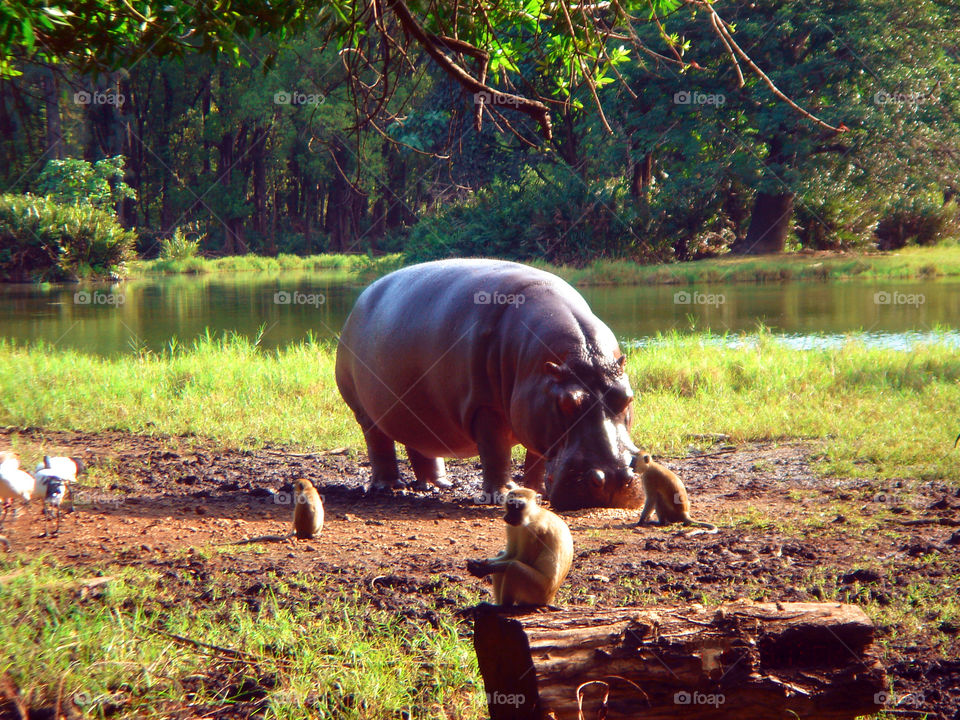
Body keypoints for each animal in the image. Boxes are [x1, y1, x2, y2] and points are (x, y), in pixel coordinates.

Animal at [334, 259, 641, 510]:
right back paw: (389, 487)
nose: (614, 478)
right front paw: (506, 495)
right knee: (379, 443)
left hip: (414, 406)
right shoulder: (485, 407)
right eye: (566, 403)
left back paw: (439, 485)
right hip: (364, 411)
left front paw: (536, 492)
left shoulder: (534, 412)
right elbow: (496, 453)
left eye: (627, 397)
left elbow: (537, 458)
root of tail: (358, 302)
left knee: (420, 443)